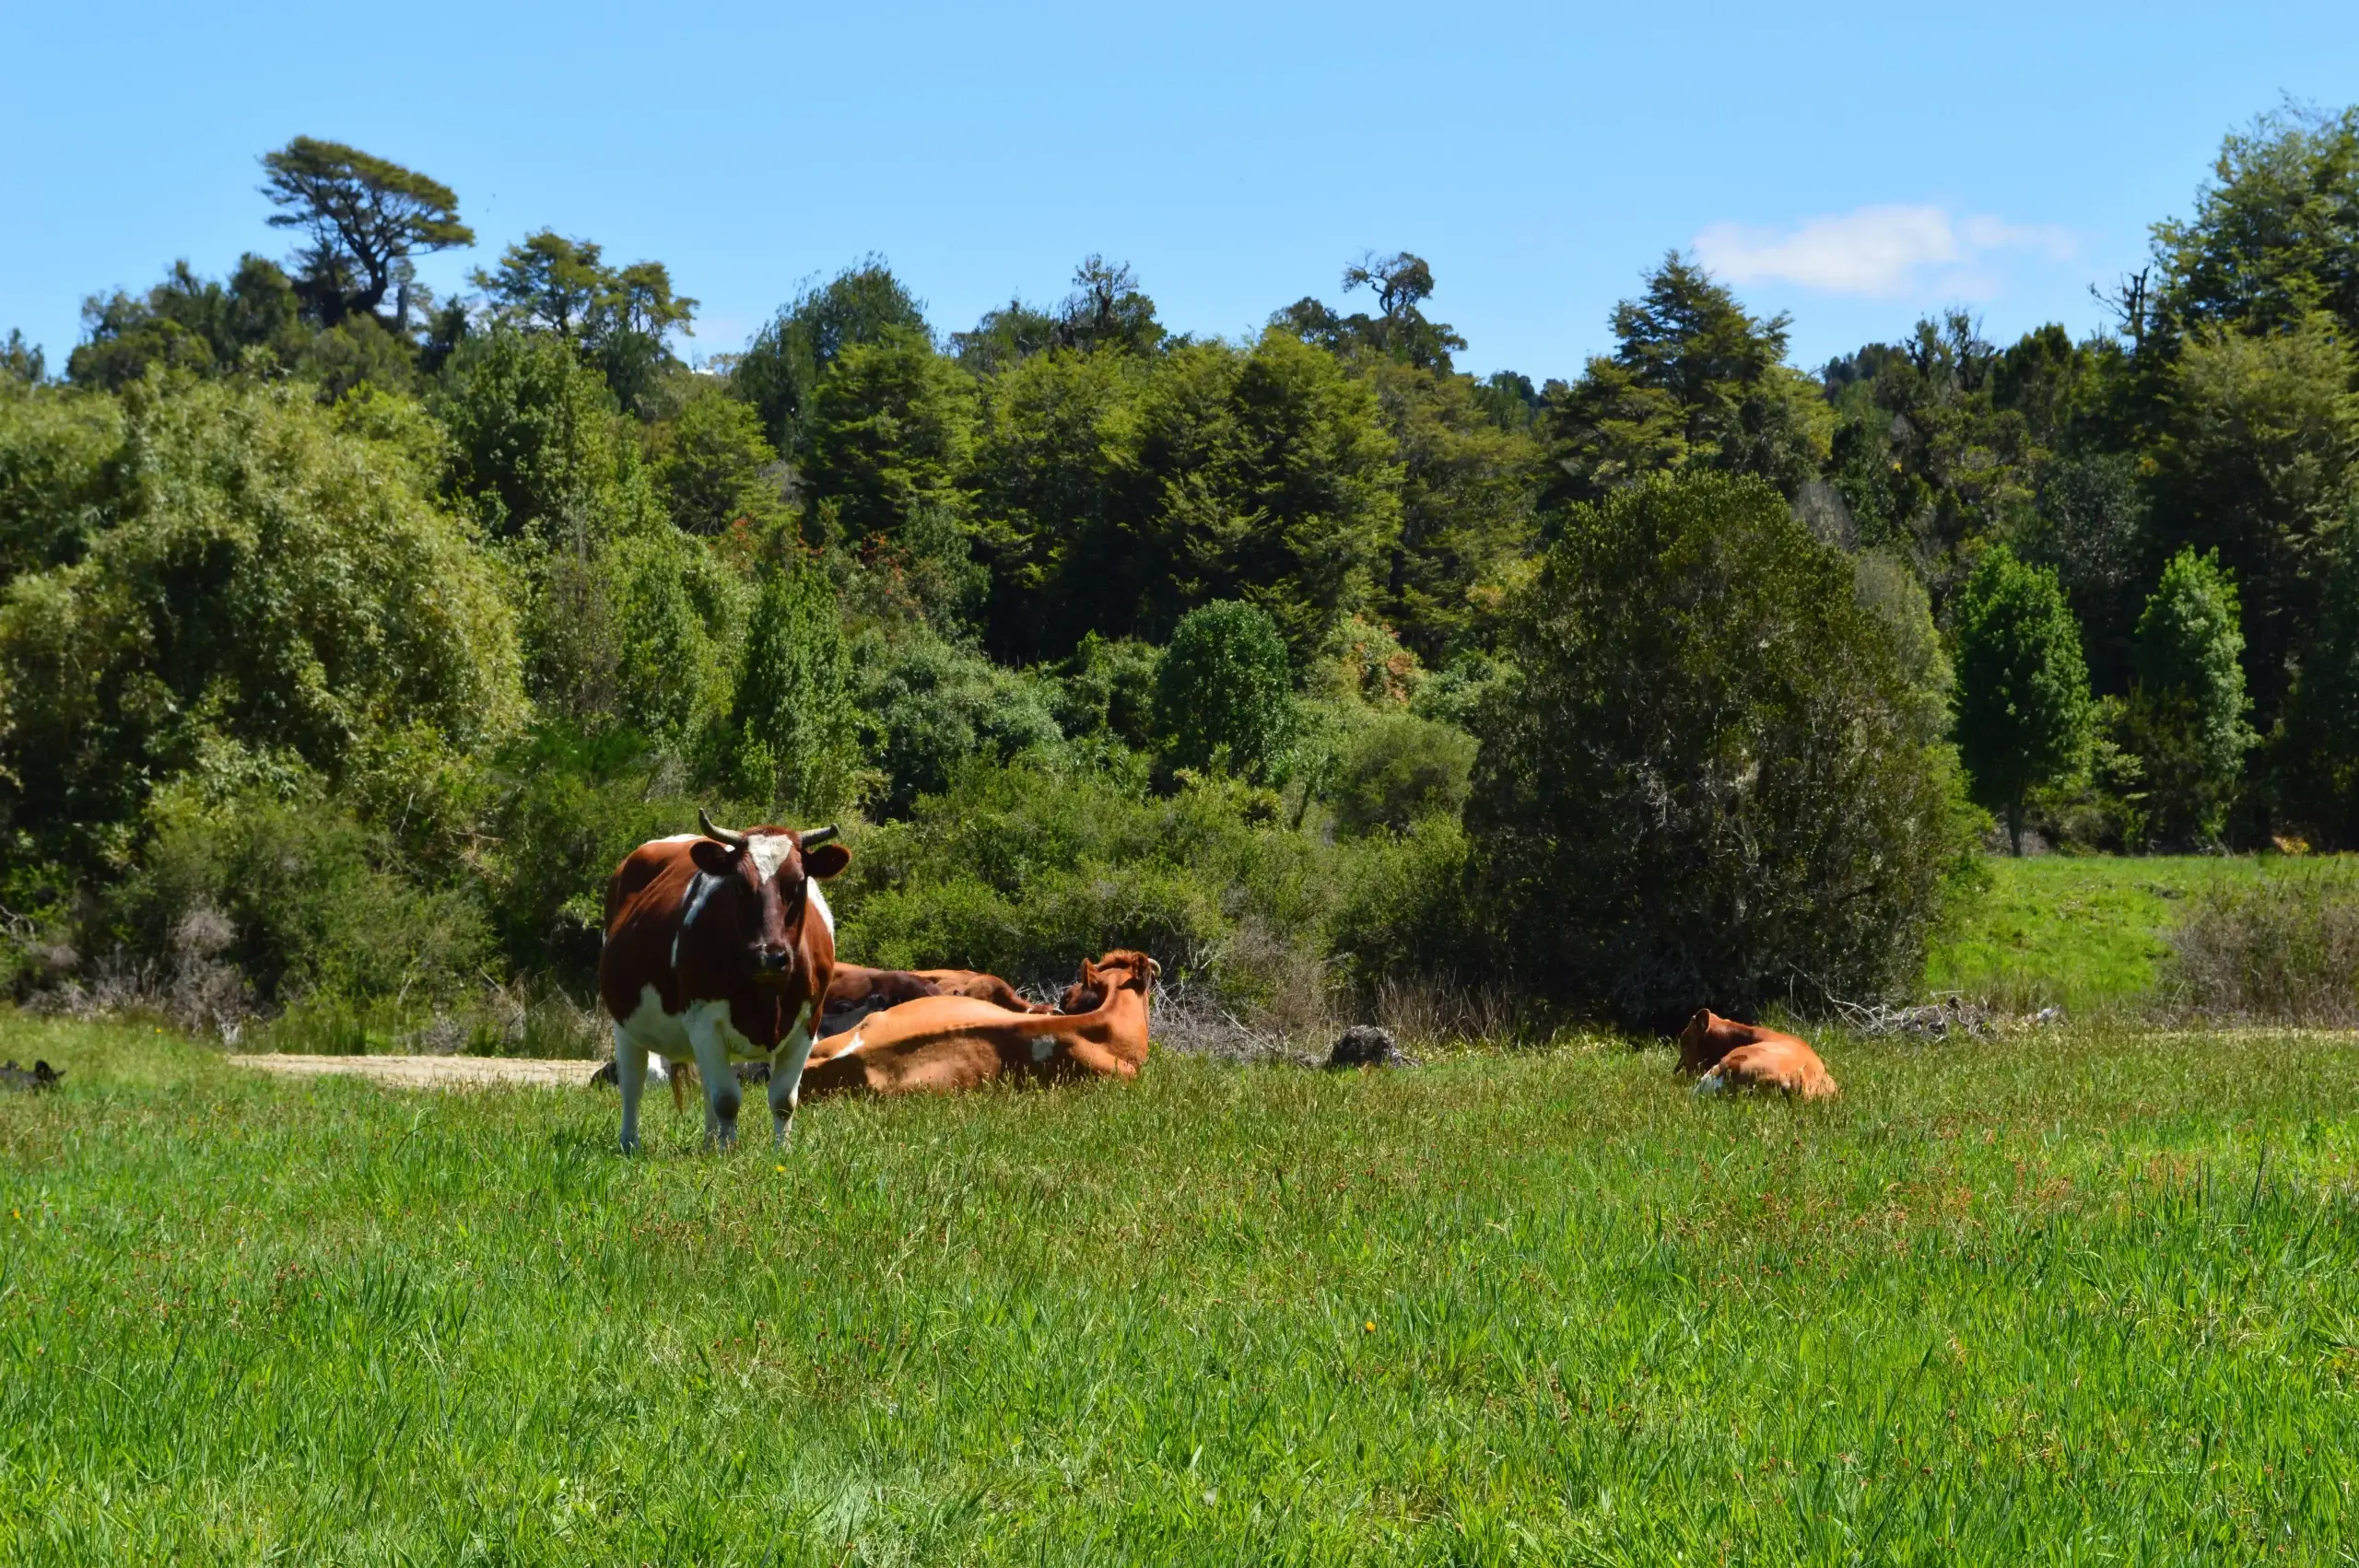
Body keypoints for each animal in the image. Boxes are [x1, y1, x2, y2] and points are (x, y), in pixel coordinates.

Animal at [599, 806, 849, 1150]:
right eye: (739, 883)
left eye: (799, 883)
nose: (768, 956)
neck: (766, 996)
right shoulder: (704, 1020)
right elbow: (728, 1100)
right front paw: (728, 1151)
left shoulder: (808, 1022)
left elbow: (784, 1099)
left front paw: (781, 1151)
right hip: (624, 1021)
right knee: (633, 1082)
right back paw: (630, 1143)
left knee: (706, 1086)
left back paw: (707, 1143)